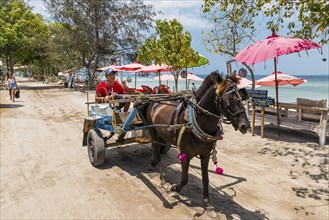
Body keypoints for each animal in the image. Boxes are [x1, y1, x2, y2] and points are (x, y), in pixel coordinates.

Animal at [135, 71, 249, 211]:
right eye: (228, 99)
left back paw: (154, 163)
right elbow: (184, 179)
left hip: (160, 133)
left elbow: (206, 178)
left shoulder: (205, 155)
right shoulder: (186, 154)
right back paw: (161, 177)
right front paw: (174, 188)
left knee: (157, 148)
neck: (197, 122)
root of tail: (153, 100)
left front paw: (207, 202)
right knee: (156, 148)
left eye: (241, 98)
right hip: (153, 130)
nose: (245, 125)